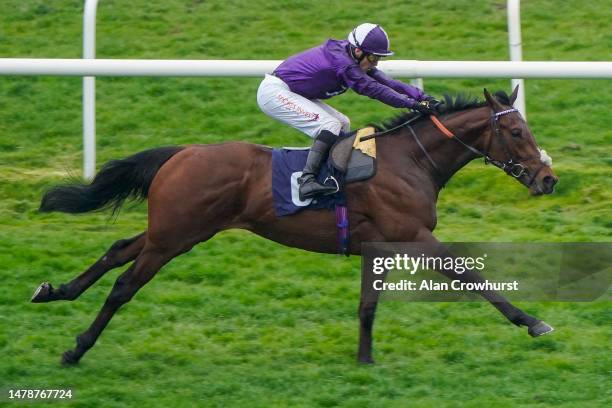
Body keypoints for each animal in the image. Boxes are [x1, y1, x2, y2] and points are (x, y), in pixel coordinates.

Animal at [33, 85, 560, 364]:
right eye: (517, 132)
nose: (548, 179)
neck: (409, 161)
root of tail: (181, 153)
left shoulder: (379, 244)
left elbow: (368, 304)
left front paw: (364, 360)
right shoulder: (414, 235)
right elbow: (470, 274)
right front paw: (532, 321)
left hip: (172, 228)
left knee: (117, 249)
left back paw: (54, 291)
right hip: (176, 235)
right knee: (125, 284)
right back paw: (76, 349)